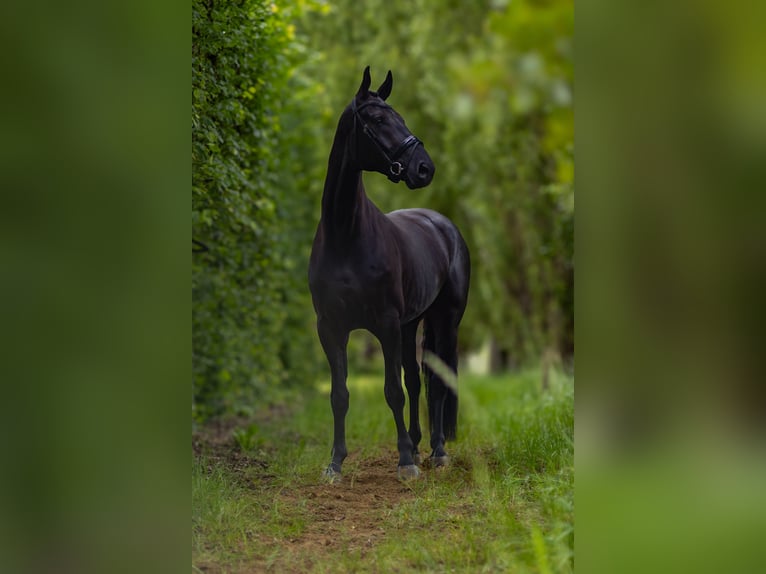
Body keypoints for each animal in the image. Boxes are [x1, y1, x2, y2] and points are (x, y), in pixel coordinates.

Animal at [308, 66, 472, 482]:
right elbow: (340, 395)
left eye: (400, 117)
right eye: (379, 119)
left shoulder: (384, 323)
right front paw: (335, 463)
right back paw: (417, 441)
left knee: (437, 382)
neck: (345, 235)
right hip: (410, 324)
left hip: (444, 321)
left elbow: (392, 391)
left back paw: (437, 451)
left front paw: (405, 462)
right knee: (416, 379)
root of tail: (442, 225)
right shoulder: (331, 328)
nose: (425, 168)